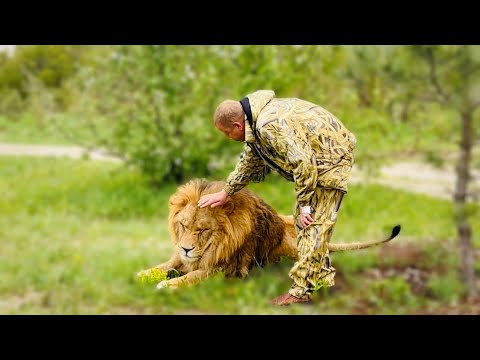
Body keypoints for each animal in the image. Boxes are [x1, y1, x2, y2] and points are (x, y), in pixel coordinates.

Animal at [137, 179, 400, 290]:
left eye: (202, 229)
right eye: (183, 225)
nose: (186, 248)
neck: (216, 244)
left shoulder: (227, 269)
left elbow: (193, 276)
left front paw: (168, 285)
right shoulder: (182, 258)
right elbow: (165, 265)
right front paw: (144, 274)